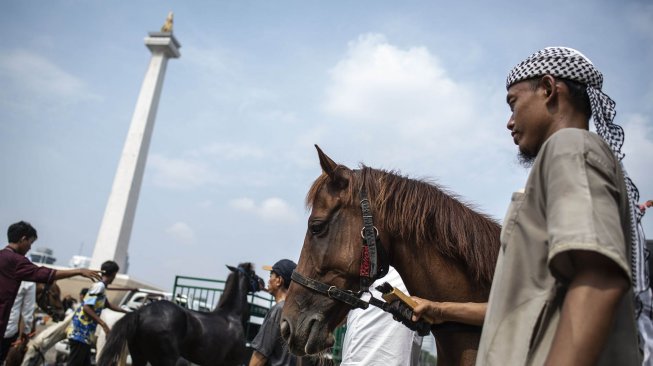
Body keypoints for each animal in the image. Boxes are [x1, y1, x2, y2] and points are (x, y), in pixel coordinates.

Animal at [96, 264, 262, 366]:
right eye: (253, 274)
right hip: (166, 359)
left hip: (140, 357)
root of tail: (141, 312)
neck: (232, 315)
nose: (262, 282)